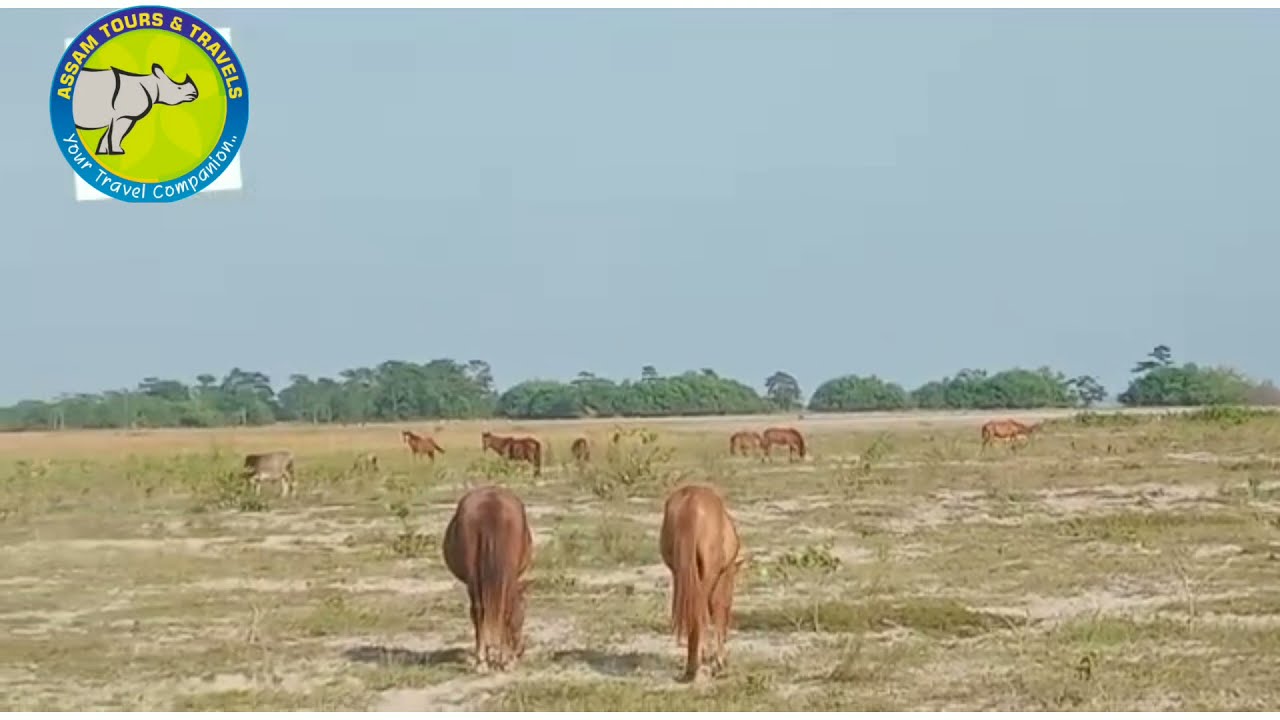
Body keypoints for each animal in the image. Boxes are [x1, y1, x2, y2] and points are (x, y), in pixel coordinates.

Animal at [442, 485, 534, 672]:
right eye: (524, 612)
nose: (520, 651)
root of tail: (491, 504)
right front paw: (504, 659)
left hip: (473, 579)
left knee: (478, 611)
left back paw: (481, 662)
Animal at [659, 484, 744, 682]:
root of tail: (691, 500)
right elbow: (716, 610)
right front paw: (718, 661)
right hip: (706, 574)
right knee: (700, 612)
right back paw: (700, 664)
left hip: (681, 573)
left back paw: (692, 668)